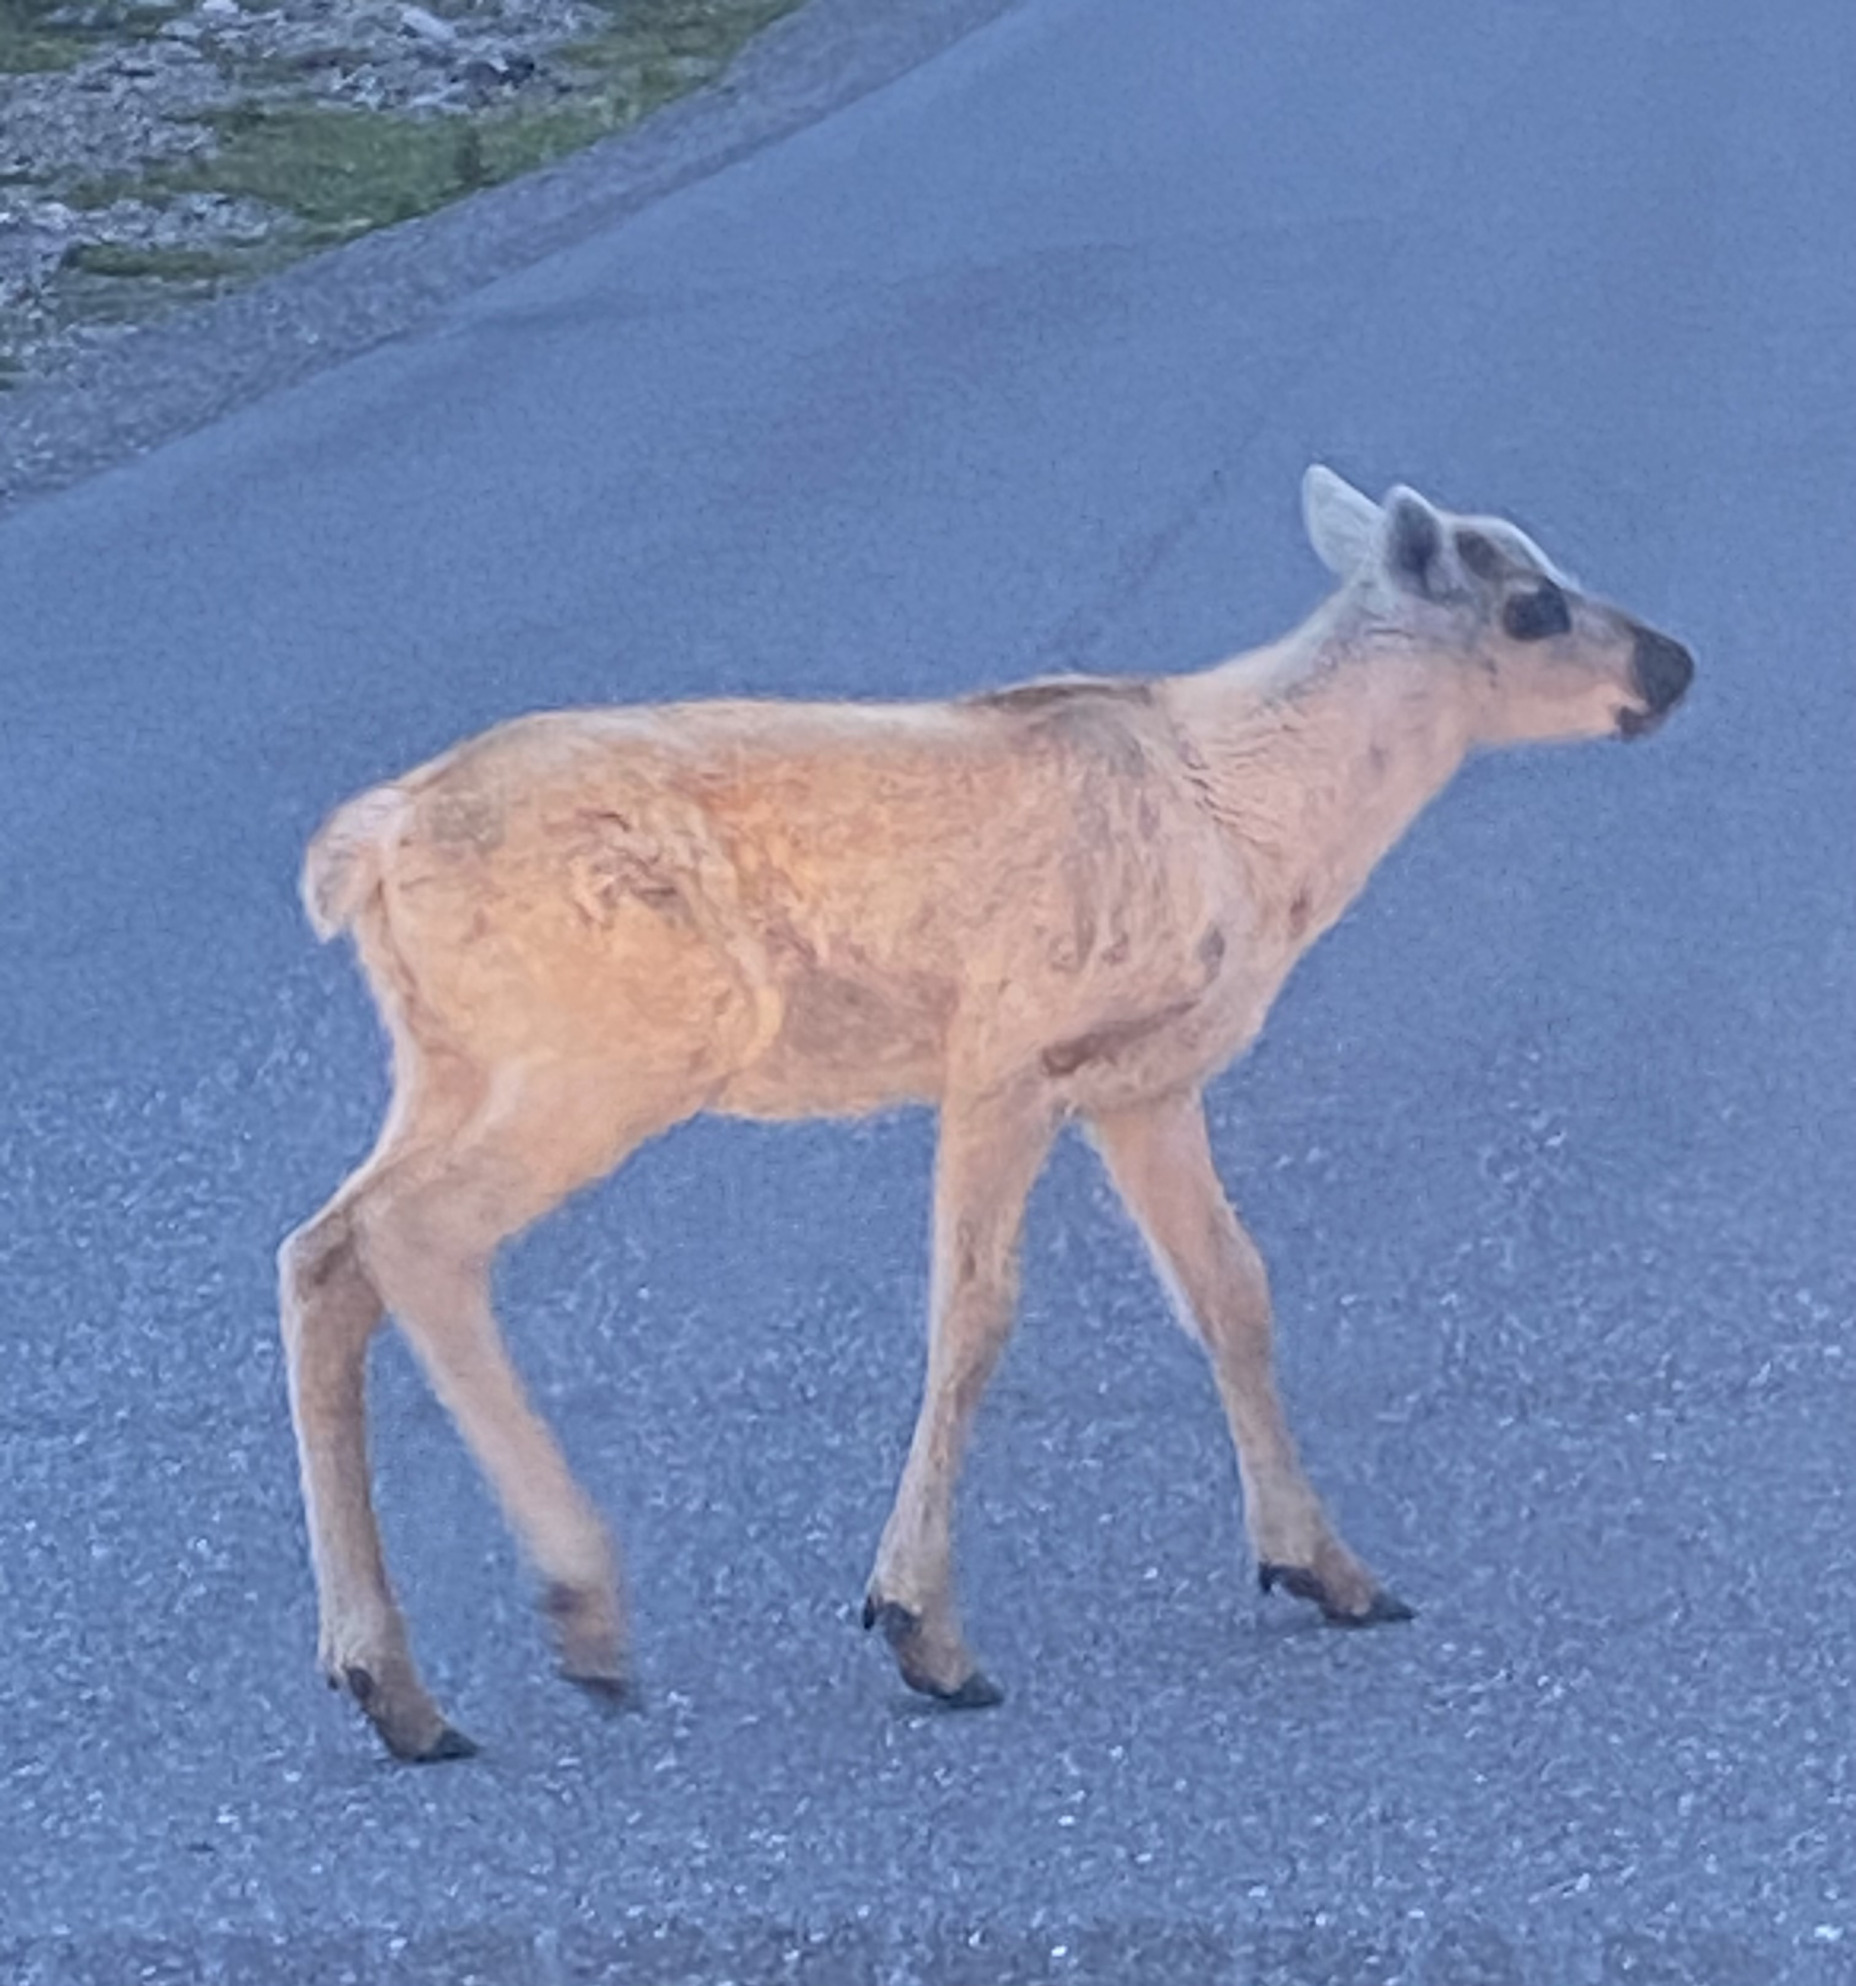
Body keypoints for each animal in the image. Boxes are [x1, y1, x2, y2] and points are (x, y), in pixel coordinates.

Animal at [279, 464, 1699, 1755]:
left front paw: (1327, 1568)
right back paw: (581, 1616)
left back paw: (394, 1686)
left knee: (322, 1250)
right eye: (1529, 605)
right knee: (413, 1237)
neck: (1258, 831)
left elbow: (1231, 1294)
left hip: (451, 1059)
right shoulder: (1010, 1044)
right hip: (623, 1042)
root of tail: (368, 848)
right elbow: (973, 1318)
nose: (1675, 663)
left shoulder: (1147, 1080)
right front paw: (924, 1631)